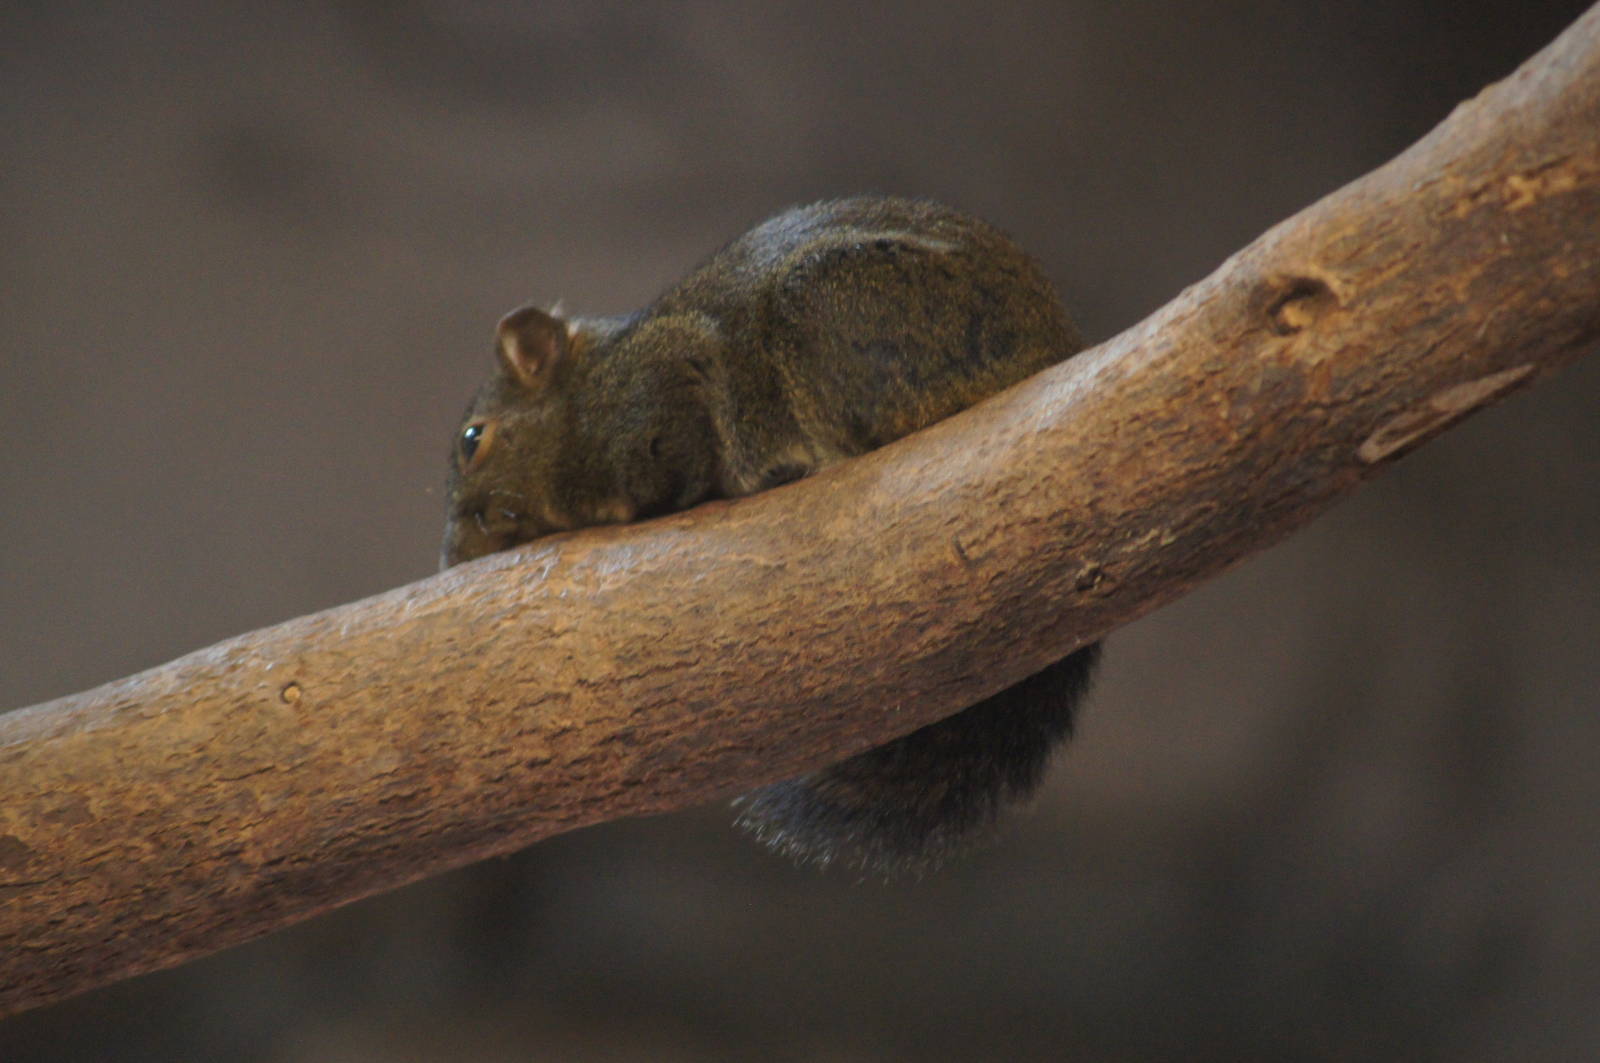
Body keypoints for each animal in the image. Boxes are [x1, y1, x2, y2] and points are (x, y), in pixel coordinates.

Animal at [442, 195, 1100, 873]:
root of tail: (1050, 345)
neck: (589, 391)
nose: (451, 554)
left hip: (826, 301)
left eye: (472, 439)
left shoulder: (670, 377)